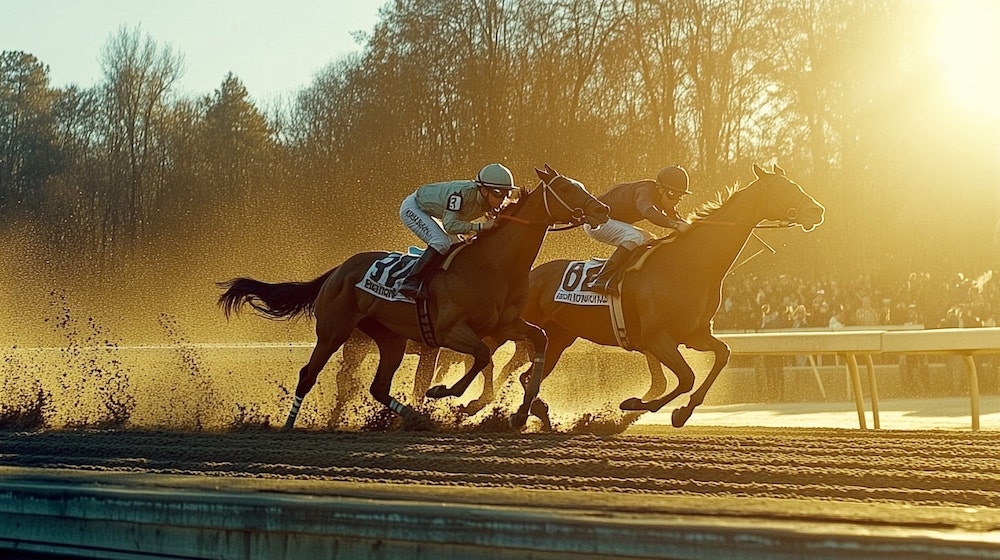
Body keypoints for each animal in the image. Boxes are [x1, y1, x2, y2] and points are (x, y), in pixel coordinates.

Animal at [220, 164, 608, 430]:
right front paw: (447, 395)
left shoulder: (505, 326)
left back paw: (417, 419)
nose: (601, 210)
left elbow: (536, 342)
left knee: (377, 387)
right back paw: (289, 425)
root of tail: (338, 270)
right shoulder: (449, 331)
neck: (494, 265)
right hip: (335, 332)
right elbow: (481, 358)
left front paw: (520, 411)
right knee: (309, 374)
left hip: (387, 338)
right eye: (567, 188)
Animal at [504, 164, 824, 426]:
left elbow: (722, 355)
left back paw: (534, 411)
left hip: (559, 337)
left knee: (524, 374)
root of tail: (531, 274)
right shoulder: (657, 339)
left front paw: (681, 411)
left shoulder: (694, 335)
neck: (689, 264)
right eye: (785, 189)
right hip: (533, 331)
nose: (818, 211)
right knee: (519, 371)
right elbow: (685, 378)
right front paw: (639, 404)